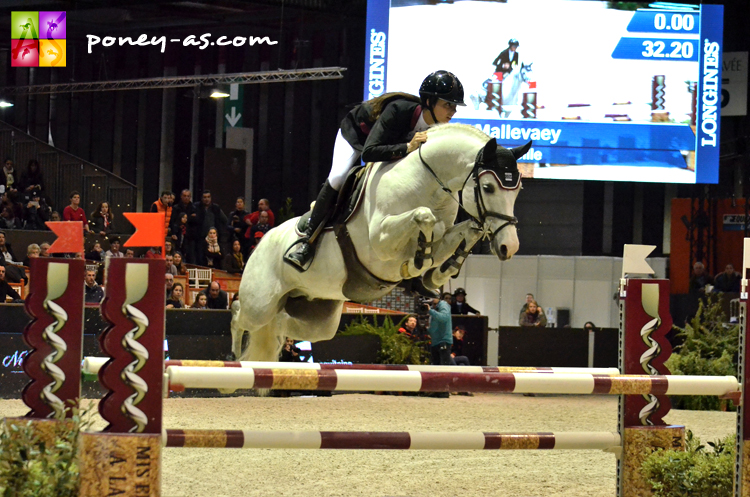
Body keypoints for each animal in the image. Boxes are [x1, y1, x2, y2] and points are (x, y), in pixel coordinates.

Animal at [229, 123, 528, 360]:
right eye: (488, 188)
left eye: (518, 190)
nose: (509, 247)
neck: (426, 184)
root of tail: (261, 244)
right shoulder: (380, 242)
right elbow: (424, 217)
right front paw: (419, 261)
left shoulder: (445, 235)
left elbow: (468, 231)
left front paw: (438, 273)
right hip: (260, 303)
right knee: (239, 314)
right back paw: (232, 362)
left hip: (318, 317)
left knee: (280, 326)